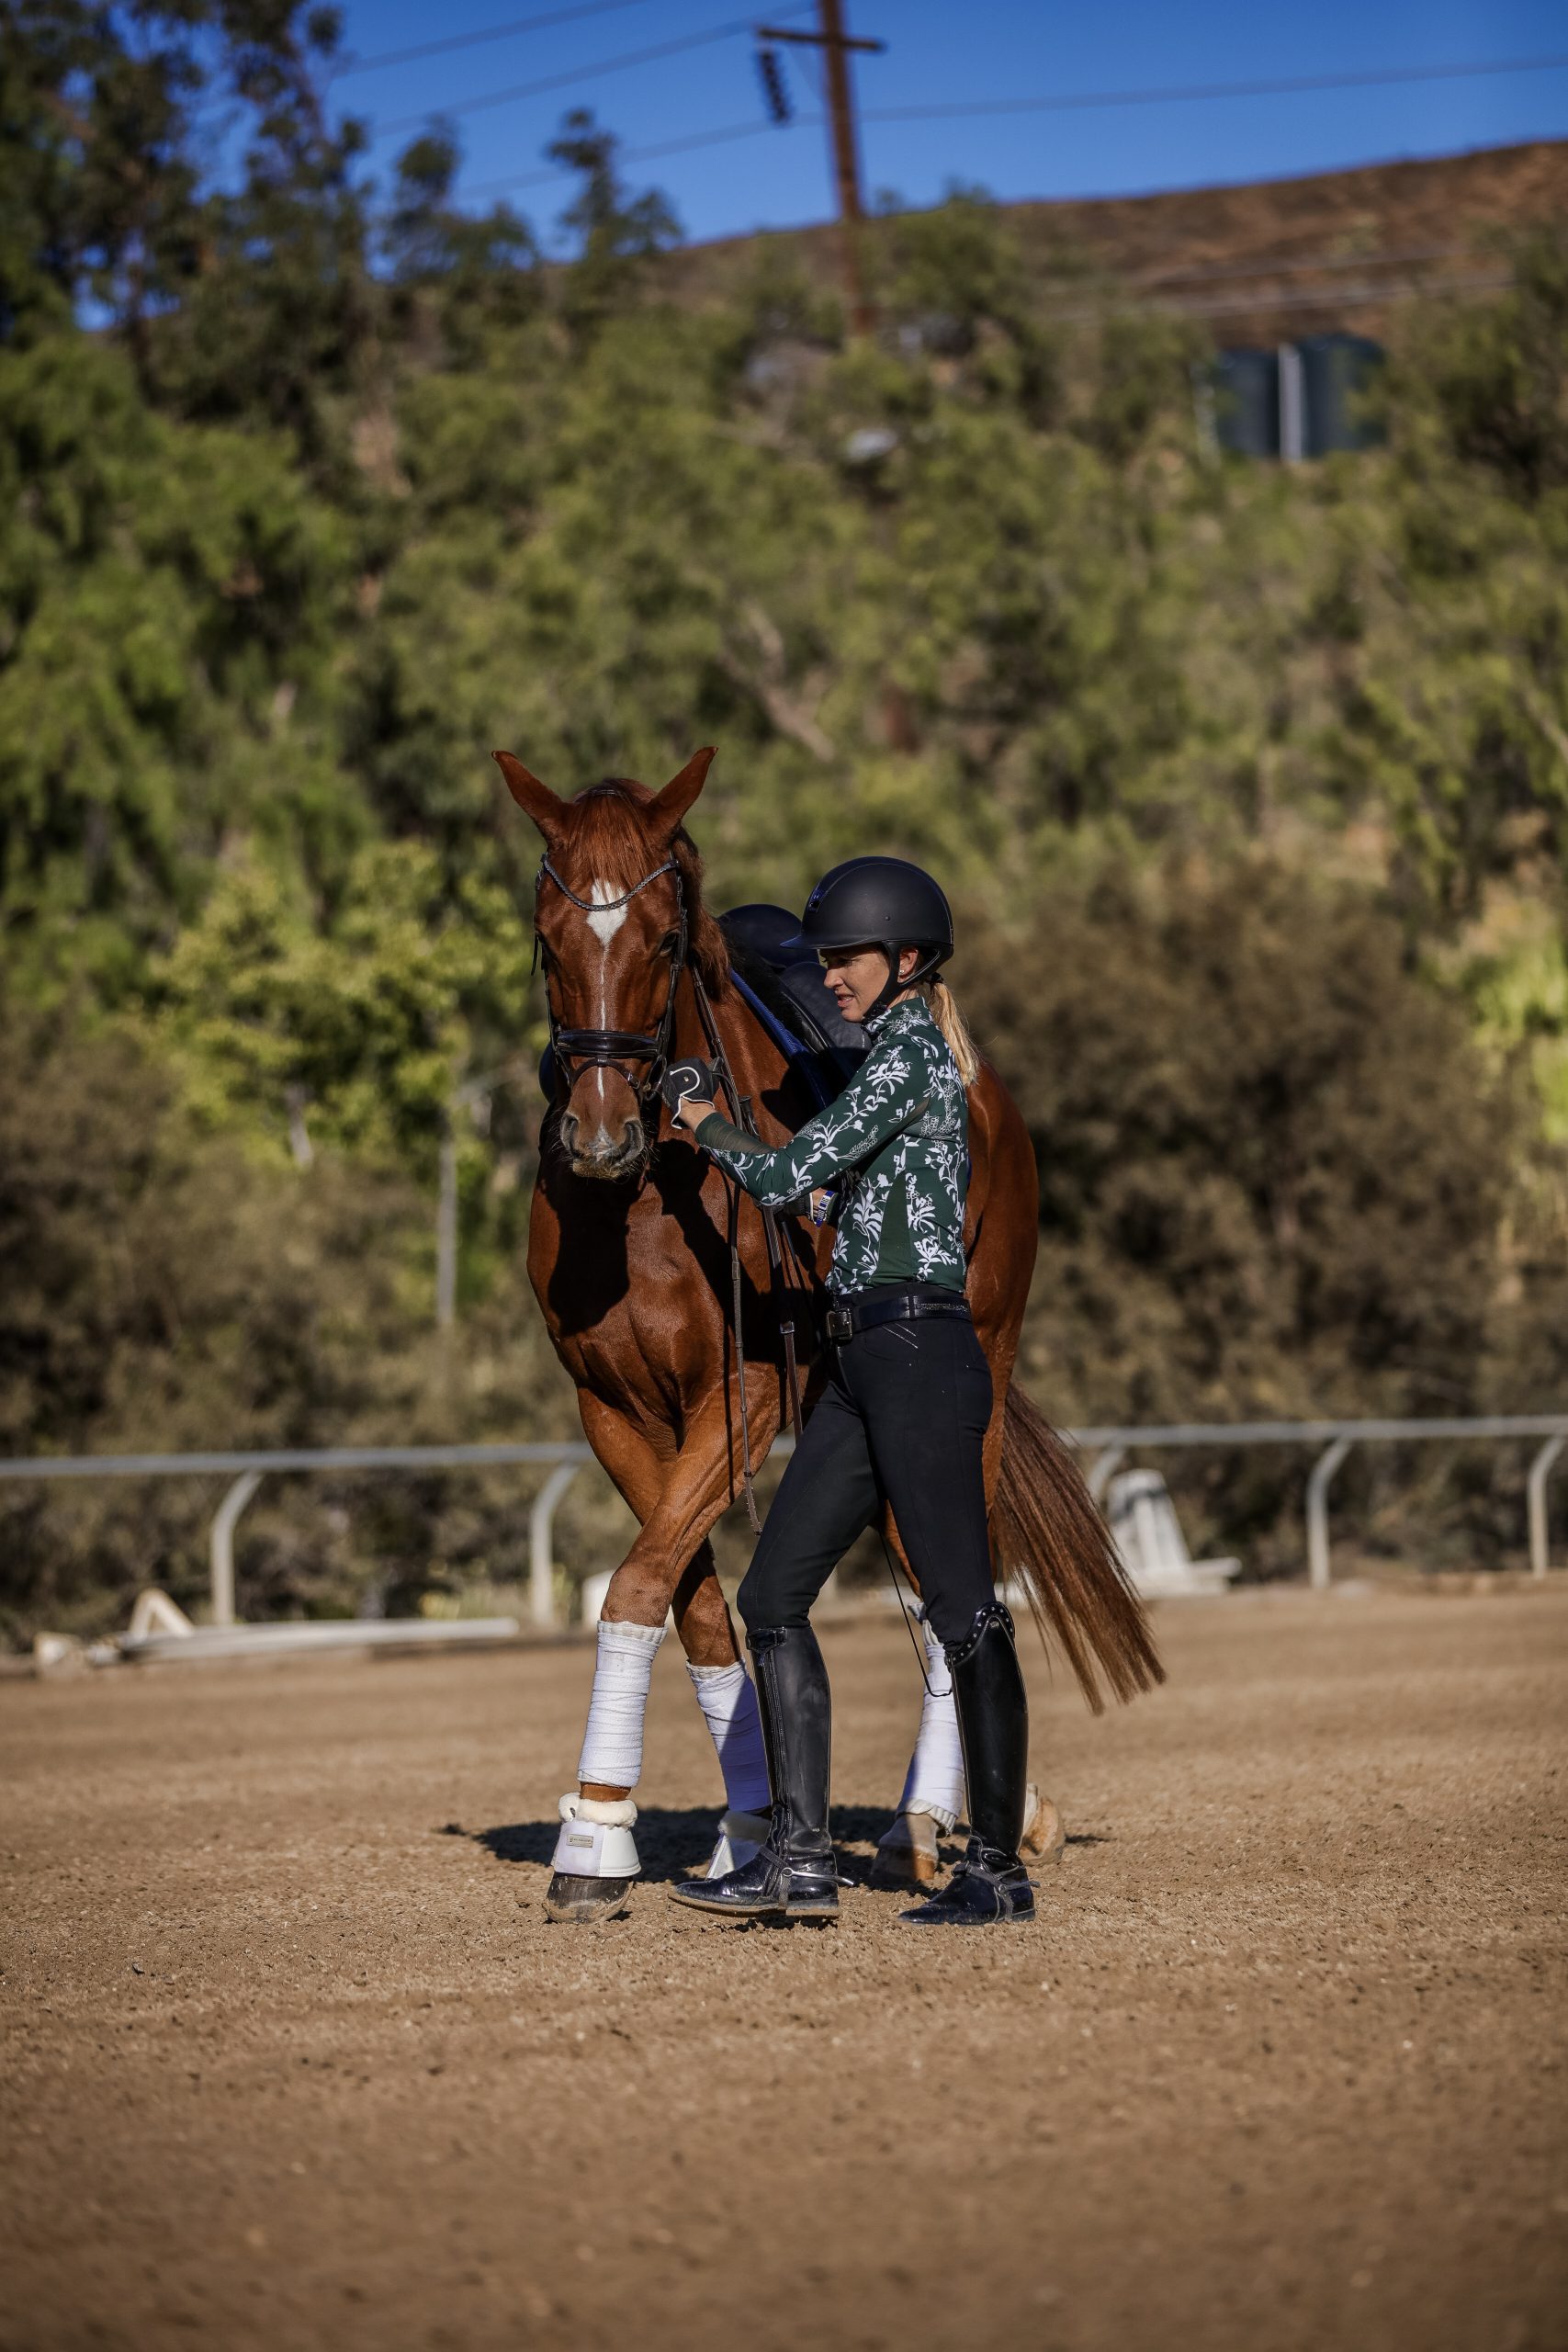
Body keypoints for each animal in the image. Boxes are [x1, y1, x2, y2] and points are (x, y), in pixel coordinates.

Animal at [494, 744, 1162, 1920]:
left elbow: (637, 1583)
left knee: (957, 1590)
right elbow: (692, 1605)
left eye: (662, 939)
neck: (649, 1204)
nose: (602, 1136)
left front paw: (595, 1834)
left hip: (970, 1390)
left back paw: (931, 1825)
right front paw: (742, 1830)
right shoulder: (615, 1411)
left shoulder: (743, 1399)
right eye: (548, 937)